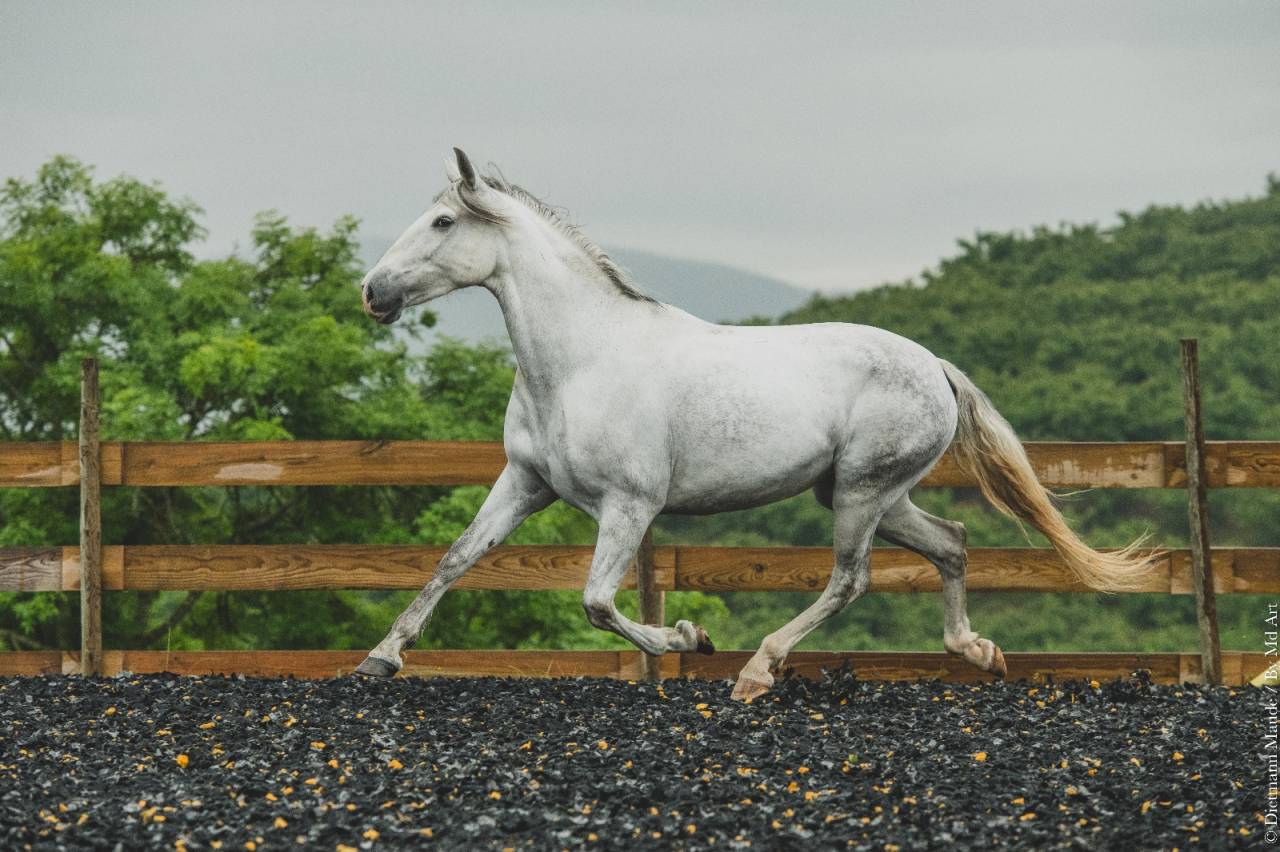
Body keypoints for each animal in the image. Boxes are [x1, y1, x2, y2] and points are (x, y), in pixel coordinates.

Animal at [354, 148, 1154, 701]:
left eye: (443, 221)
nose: (372, 292)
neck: (581, 360)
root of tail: (935, 366)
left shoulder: (629, 504)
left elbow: (598, 602)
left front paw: (691, 636)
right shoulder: (524, 483)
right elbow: (454, 559)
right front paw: (379, 659)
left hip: (861, 493)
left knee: (851, 579)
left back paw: (758, 670)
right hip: (867, 493)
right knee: (951, 543)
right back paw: (976, 651)